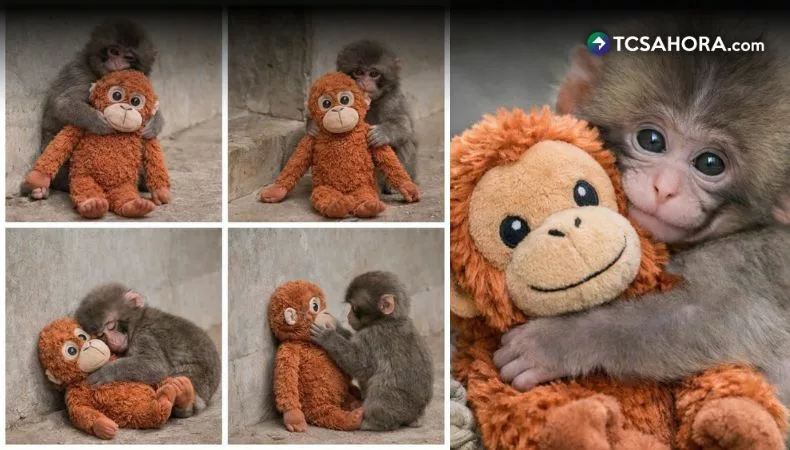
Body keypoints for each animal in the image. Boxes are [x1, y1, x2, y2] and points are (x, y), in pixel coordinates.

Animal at [74, 283, 220, 418]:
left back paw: (184, 400)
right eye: (100, 335)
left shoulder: (146, 336)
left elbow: (155, 365)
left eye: (111, 326)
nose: (113, 341)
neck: (137, 324)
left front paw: (104, 372)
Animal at [310, 271, 433, 431]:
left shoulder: (372, 337)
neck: (387, 320)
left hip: (395, 406)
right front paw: (335, 326)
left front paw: (327, 336)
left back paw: (370, 422)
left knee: (381, 387)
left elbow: (361, 366)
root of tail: (414, 414)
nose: (348, 315)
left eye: (354, 308)